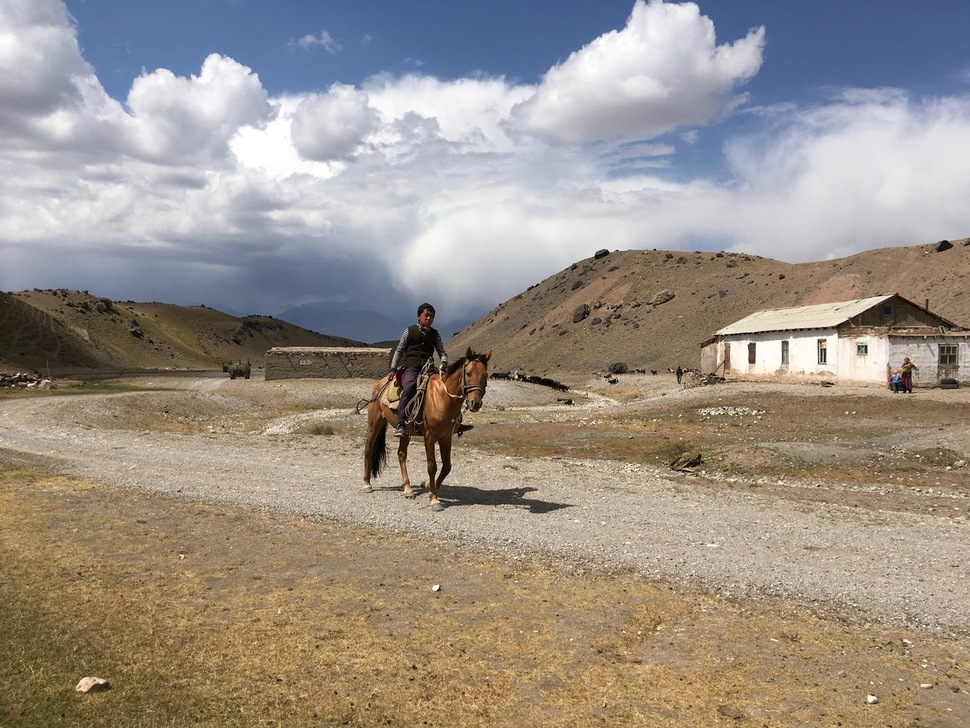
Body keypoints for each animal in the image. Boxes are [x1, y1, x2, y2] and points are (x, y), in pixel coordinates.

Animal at [362, 348, 488, 512]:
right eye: (468, 373)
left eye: (485, 375)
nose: (475, 403)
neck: (443, 398)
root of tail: (381, 383)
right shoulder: (429, 437)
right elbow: (432, 467)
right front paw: (434, 499)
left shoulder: (446, 437)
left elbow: (447, 466)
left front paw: (428, 485)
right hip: (375, 424)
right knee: (369, 449)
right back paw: (367, 484)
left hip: (405, 432)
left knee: (401, 454)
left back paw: (408, 489)